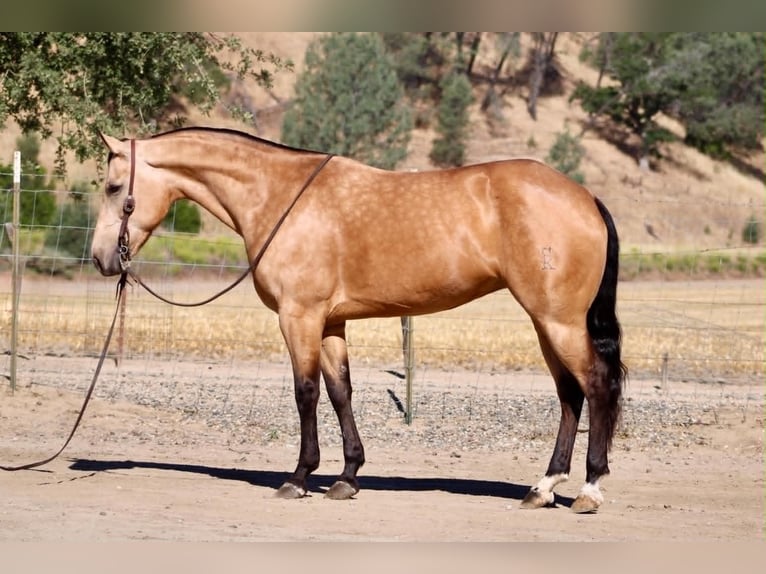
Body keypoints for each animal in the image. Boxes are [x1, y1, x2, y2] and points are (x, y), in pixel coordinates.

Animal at [90, 126, 625, 513]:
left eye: (115, 187)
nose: (100, 258)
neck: (281, 196)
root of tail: (585, 196)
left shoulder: (299, 317)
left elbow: (306, 392)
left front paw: (298, 478)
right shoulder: (330, 324)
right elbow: (340, 391)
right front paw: (347, 477)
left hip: (558, 321)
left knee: (596, 386)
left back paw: (588, 490)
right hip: (545, 323)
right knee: (570, 395)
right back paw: (543, 487)